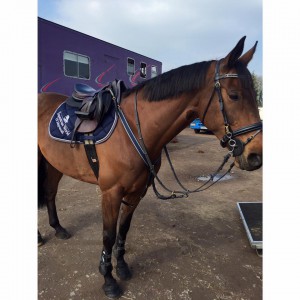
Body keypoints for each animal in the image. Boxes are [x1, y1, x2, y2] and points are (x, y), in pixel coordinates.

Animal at [38, 37, 262, 298]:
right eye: (234, 95)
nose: (255, 156)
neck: (134, 129)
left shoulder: (136, 192)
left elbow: (123, 230)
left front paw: (122, 267)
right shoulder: (110, 193)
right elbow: (108, 235)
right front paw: (108, 280)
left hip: (53, 163)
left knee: (50, 193)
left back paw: (58, 229)